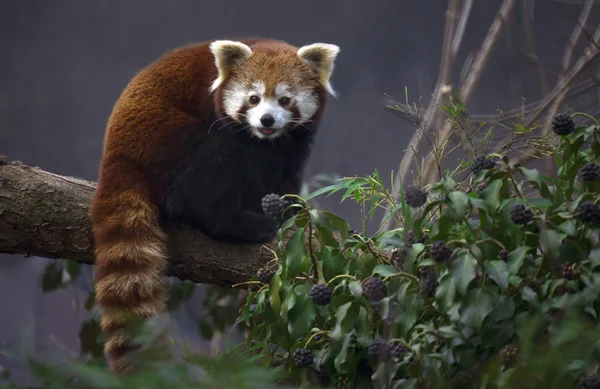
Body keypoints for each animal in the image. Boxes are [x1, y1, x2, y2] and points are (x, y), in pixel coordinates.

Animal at [91, 37, 340, 372]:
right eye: (253, 98)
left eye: (285, 100)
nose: (266, 120)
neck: (264, 138)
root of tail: (117, 155)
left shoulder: (293, 143)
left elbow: (281, 175)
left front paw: (291, 210)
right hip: (167, 136)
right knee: (206, 170)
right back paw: (242, 225)